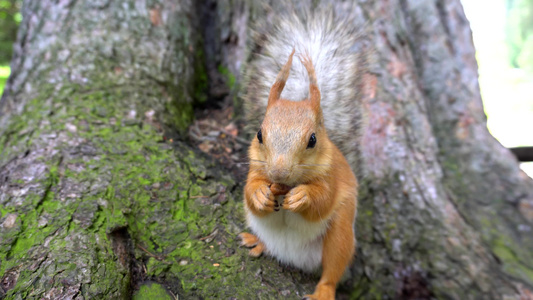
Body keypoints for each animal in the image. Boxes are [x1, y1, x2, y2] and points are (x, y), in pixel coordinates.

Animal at [240, 48, 358, 298]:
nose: (278, 172)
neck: (286, 187)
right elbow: (249, 189)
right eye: (259, 134)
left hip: (340, 236)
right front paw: (259, 194)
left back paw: (323, 292)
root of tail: (294, 257)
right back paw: (258, 243)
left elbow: (323, 200)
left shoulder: (330, 176)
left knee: (331, 271)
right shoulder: (255, 168)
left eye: (312, 140)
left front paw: (303, 196)